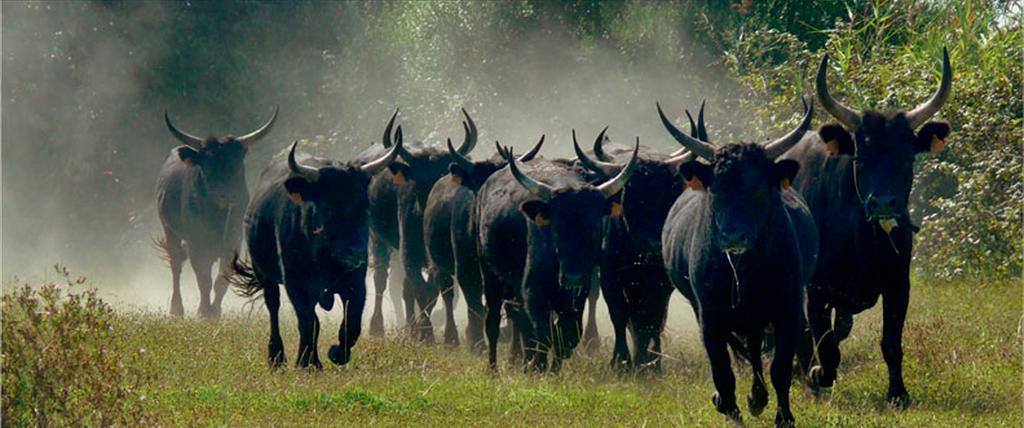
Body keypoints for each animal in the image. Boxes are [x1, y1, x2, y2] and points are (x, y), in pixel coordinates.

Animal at [154, 106, 276, 317]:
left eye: (237, 166)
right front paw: (204, 312)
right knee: (176, 265)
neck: (216, 217)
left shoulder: (233, 243)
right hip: (169, 230)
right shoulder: (197, 245)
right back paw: (176, 309)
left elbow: (222, 280)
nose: (226, 195)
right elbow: (204, 280)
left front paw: (215, 312)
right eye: (208, 167)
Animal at [782, 47, 950, 407]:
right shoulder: (815, 289)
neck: (862, 242)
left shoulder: (899, 284)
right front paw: (817, 374)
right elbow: (824, 346)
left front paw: (898, 393)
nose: (884, 203)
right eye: (861, 158)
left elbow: (891, 343)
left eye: (907, 157)